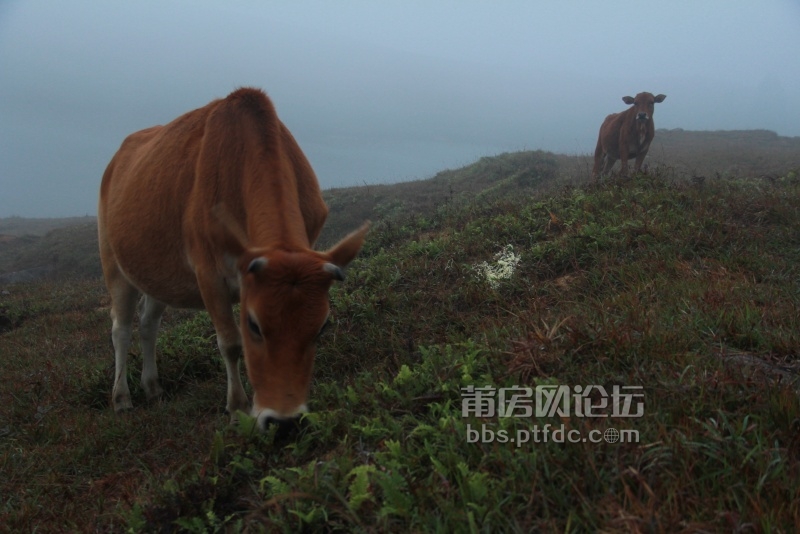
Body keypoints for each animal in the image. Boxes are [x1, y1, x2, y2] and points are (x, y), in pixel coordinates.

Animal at [97, 87, 368, 432]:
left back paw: (153, 387)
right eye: (254, 324)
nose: (284, 421)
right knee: (121, 328)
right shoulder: (208, 274)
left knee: (148, 323)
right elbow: (230, 342)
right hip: (113, 261)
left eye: (322, 326)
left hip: (158, 272)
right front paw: (238, 408)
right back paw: (121, 398)